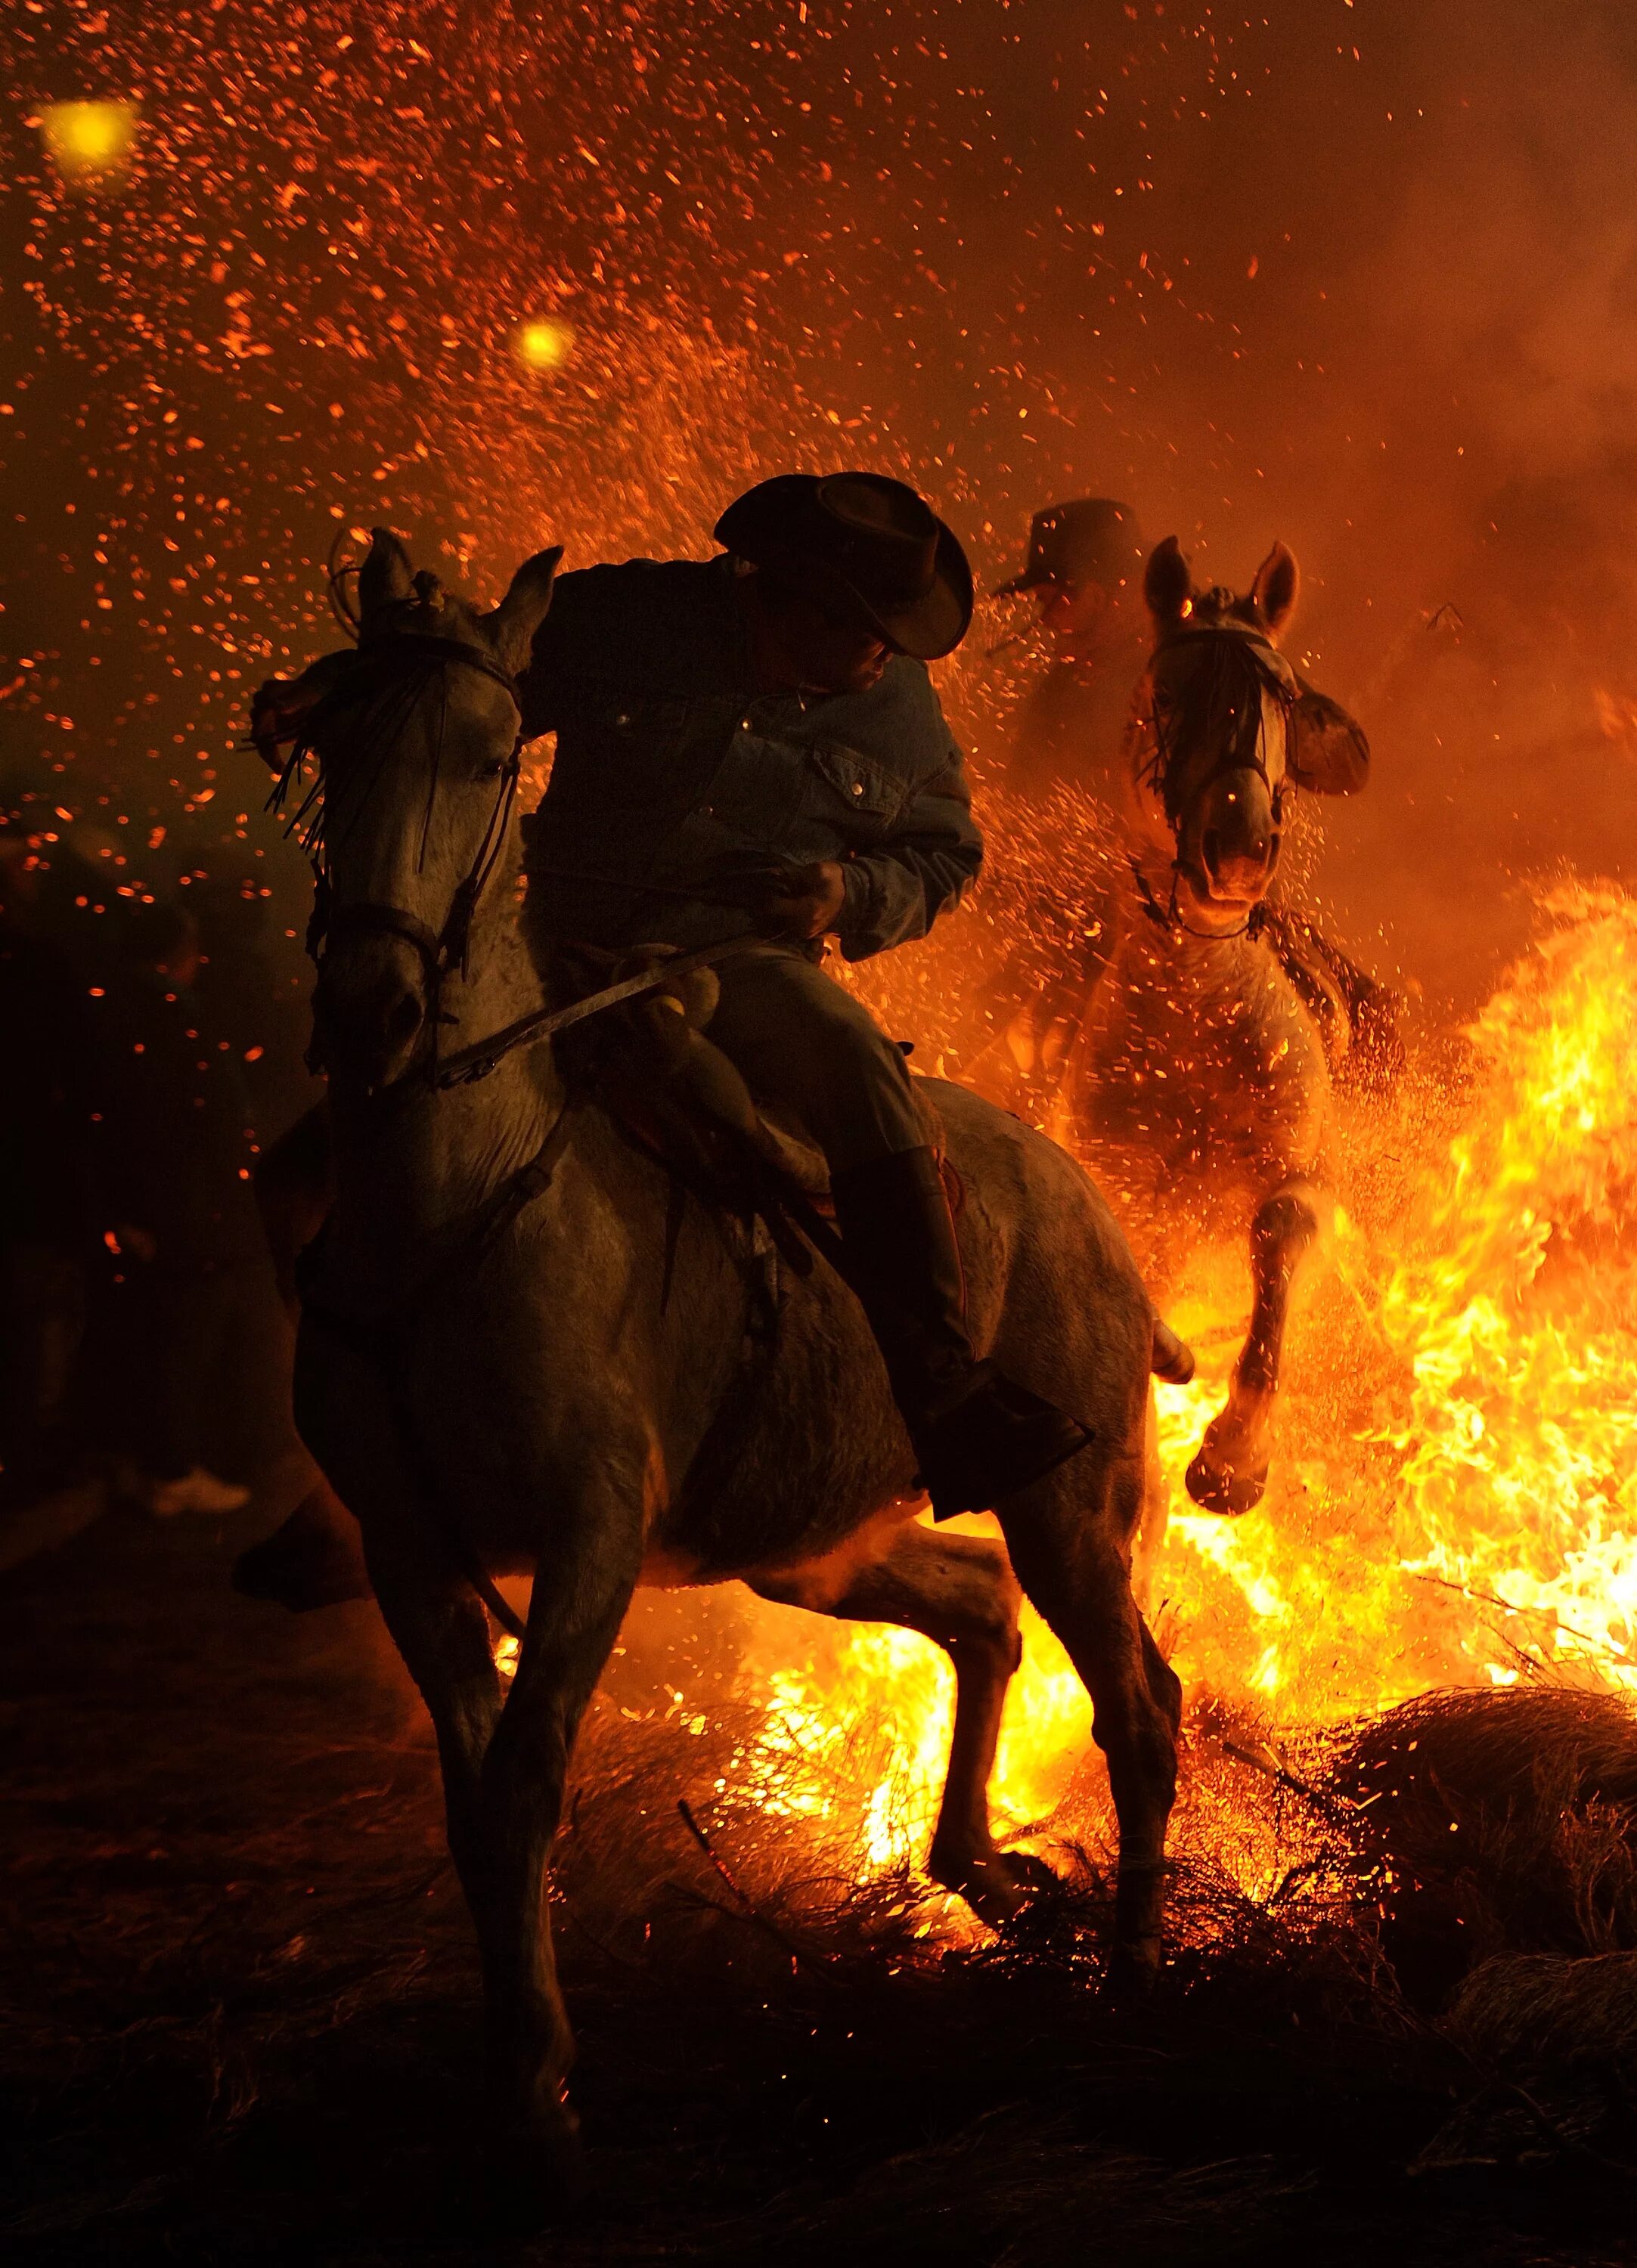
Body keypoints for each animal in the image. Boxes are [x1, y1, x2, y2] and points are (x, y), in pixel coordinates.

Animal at [251, 526, 1170, 2195]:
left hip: (1075, 1508)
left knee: (1138, 1707)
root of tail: (1086, 1204)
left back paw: (1132, 1980)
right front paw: (518, 2075)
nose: (371, 1008)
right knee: (979, 1615)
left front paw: (543, 2098)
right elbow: (472, 1808)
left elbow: (524, 1785)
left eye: (490, 753)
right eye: (335, 747)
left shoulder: (592, 1535)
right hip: (808, 1546)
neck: (461, 1197)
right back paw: (975, 1870)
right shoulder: (414, 1547)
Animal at [1047, 538, 1360, 1515]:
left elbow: (1279, 1230)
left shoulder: (1304, 1183)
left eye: (1283, 699)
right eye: (1166, 691)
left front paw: (1233, 1456)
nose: (1238, 850)